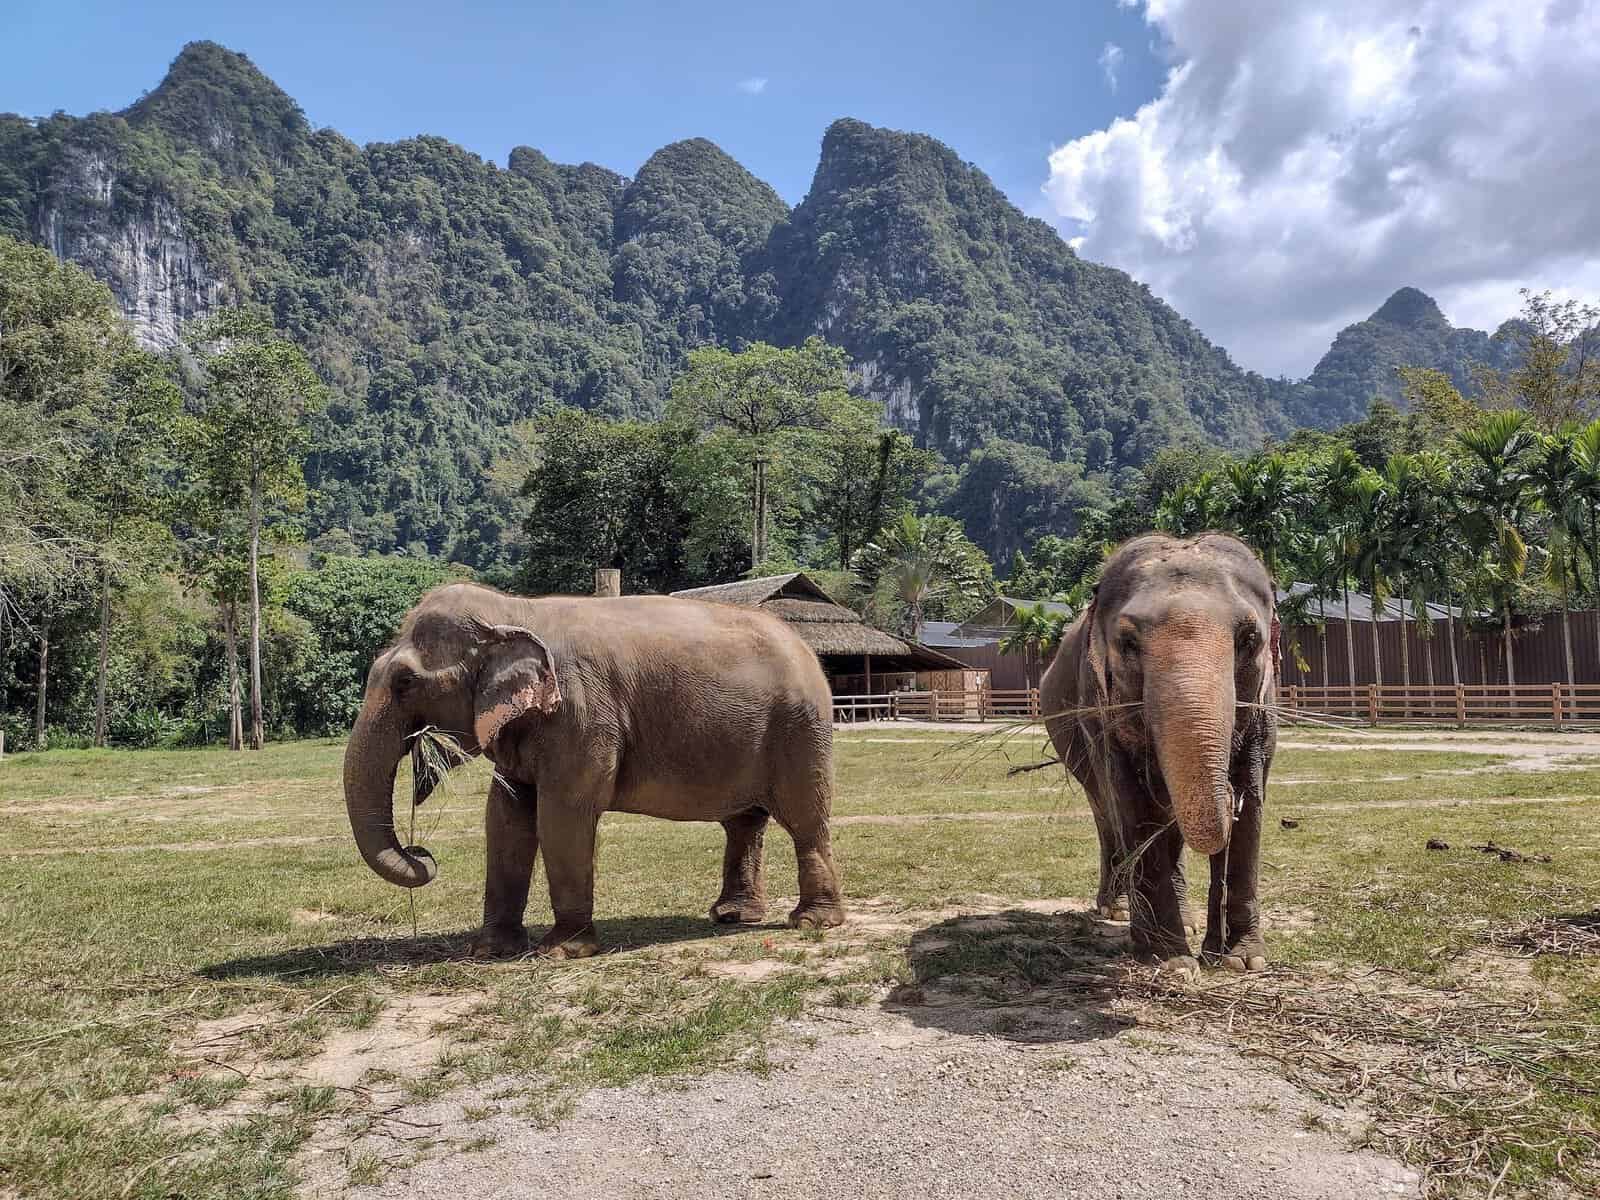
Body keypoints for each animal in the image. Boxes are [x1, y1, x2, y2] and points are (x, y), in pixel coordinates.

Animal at [342, 582, 846, 959]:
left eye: (405, 682)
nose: (422, 853)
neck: (516, 609)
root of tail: (807, 648)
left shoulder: (581, 716)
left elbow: (562, 815)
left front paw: (561, 952)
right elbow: (505, 819)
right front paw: (488, 950)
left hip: (801, 730)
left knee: (804, 819)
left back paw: (812, 922)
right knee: (744, 823)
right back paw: (732, 916)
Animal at [1040, 532, 1278, 979]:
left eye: (1248, 641)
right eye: (1129, 642)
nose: (1229, 796)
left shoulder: (1265, 706)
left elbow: (1252, 798)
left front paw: (1240, 960)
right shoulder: (1099, 710)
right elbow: (1131, 804)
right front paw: (1170, 962)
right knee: (1106, 813)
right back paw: (1119, 910)